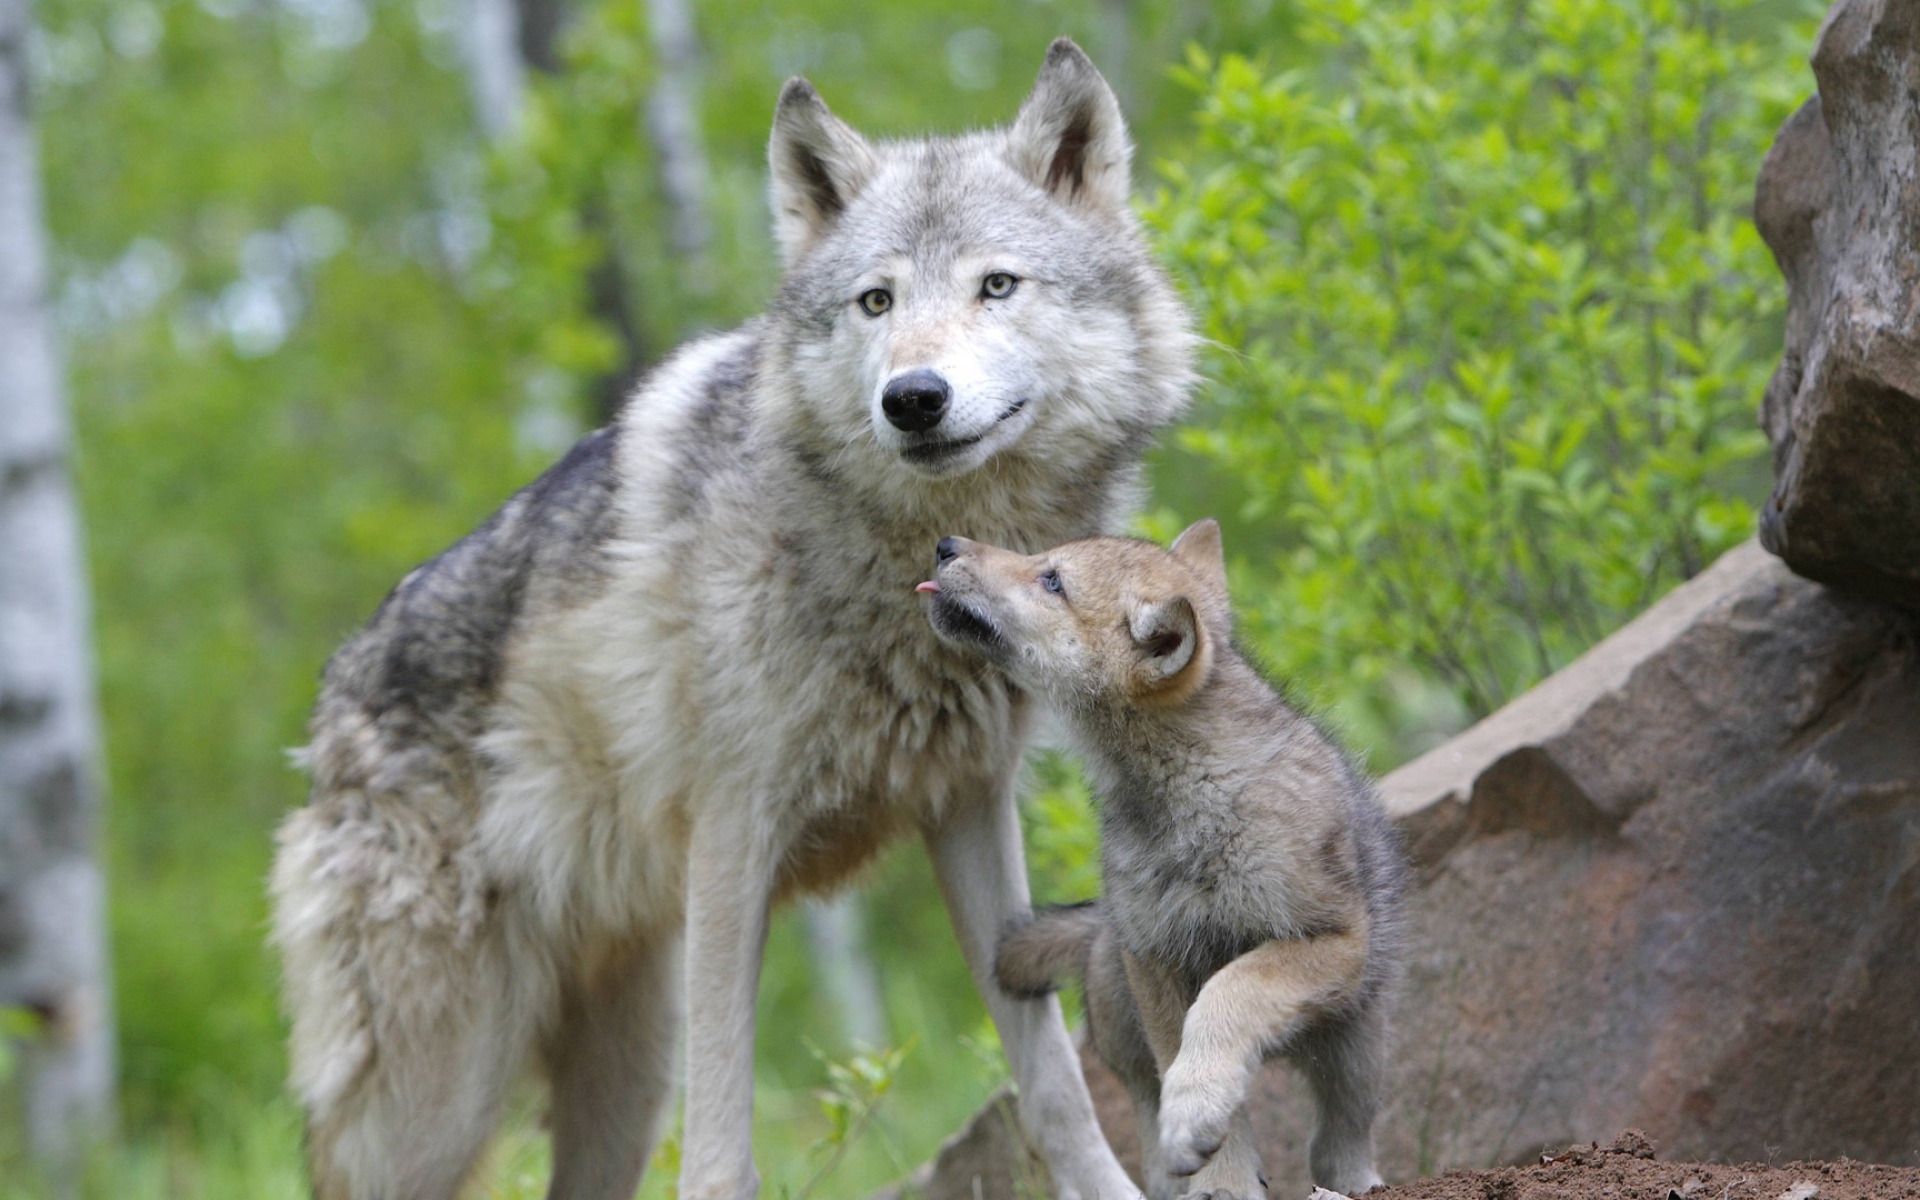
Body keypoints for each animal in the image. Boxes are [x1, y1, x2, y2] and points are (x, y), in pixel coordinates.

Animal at [268, 38, 1193, 1200]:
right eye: (876, 301)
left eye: (997, 285)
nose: (913, 398)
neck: (905, 566)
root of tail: (329, 707)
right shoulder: (732, 838)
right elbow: (720, 1151)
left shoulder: (970, 808)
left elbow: (1055, 1090)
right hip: (439, 1099)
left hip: (623, 1069)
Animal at [919, 522, 1405, 1200]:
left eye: (1052, 580)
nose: (946, 544)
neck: (1186, 792)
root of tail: (1098, 928)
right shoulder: (1156, 959)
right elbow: (1187, 1061)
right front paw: (1219, 1177)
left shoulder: (1330, 940)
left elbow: (1231, 992)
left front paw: (1198, 1116)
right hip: (1128, 1029)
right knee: (1151, 1136)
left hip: (1355, 1047)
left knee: (1339, 1141)